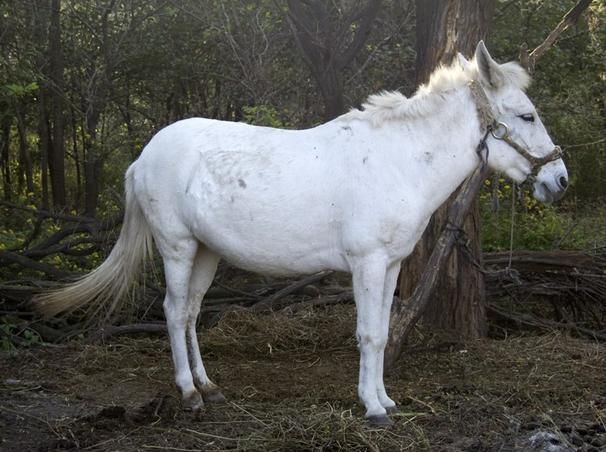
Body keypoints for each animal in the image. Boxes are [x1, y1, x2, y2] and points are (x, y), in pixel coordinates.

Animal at [36, 40, 568, 426]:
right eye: (526, 115)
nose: (559, 179)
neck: (399, 160)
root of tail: (145, 155)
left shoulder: (392, 265)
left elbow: (381, 332)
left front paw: (385, 401)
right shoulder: (367, 263)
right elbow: (369, 334)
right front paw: (371, 408)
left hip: (207, 252)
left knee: (189, 314)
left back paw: (210, 387)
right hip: (178, 248)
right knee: (170, 312)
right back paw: (189, 393)